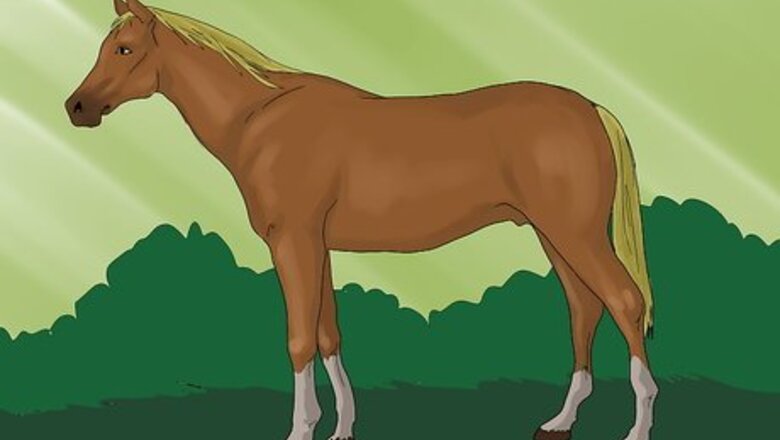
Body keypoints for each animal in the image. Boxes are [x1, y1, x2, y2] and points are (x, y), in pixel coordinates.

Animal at [66, 2, 659, 439]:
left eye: (124, 48)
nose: (76, 107)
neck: (260, 120)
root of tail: (592, 108)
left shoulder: (294, 243)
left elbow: (299, 339)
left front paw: (301, 430)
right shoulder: (317, 246)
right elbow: (329, 335)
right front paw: (342, 428)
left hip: (575, 235)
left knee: (624, 303)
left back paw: (638, 427)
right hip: (555, 237)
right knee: (584, 310)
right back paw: (559, 422)